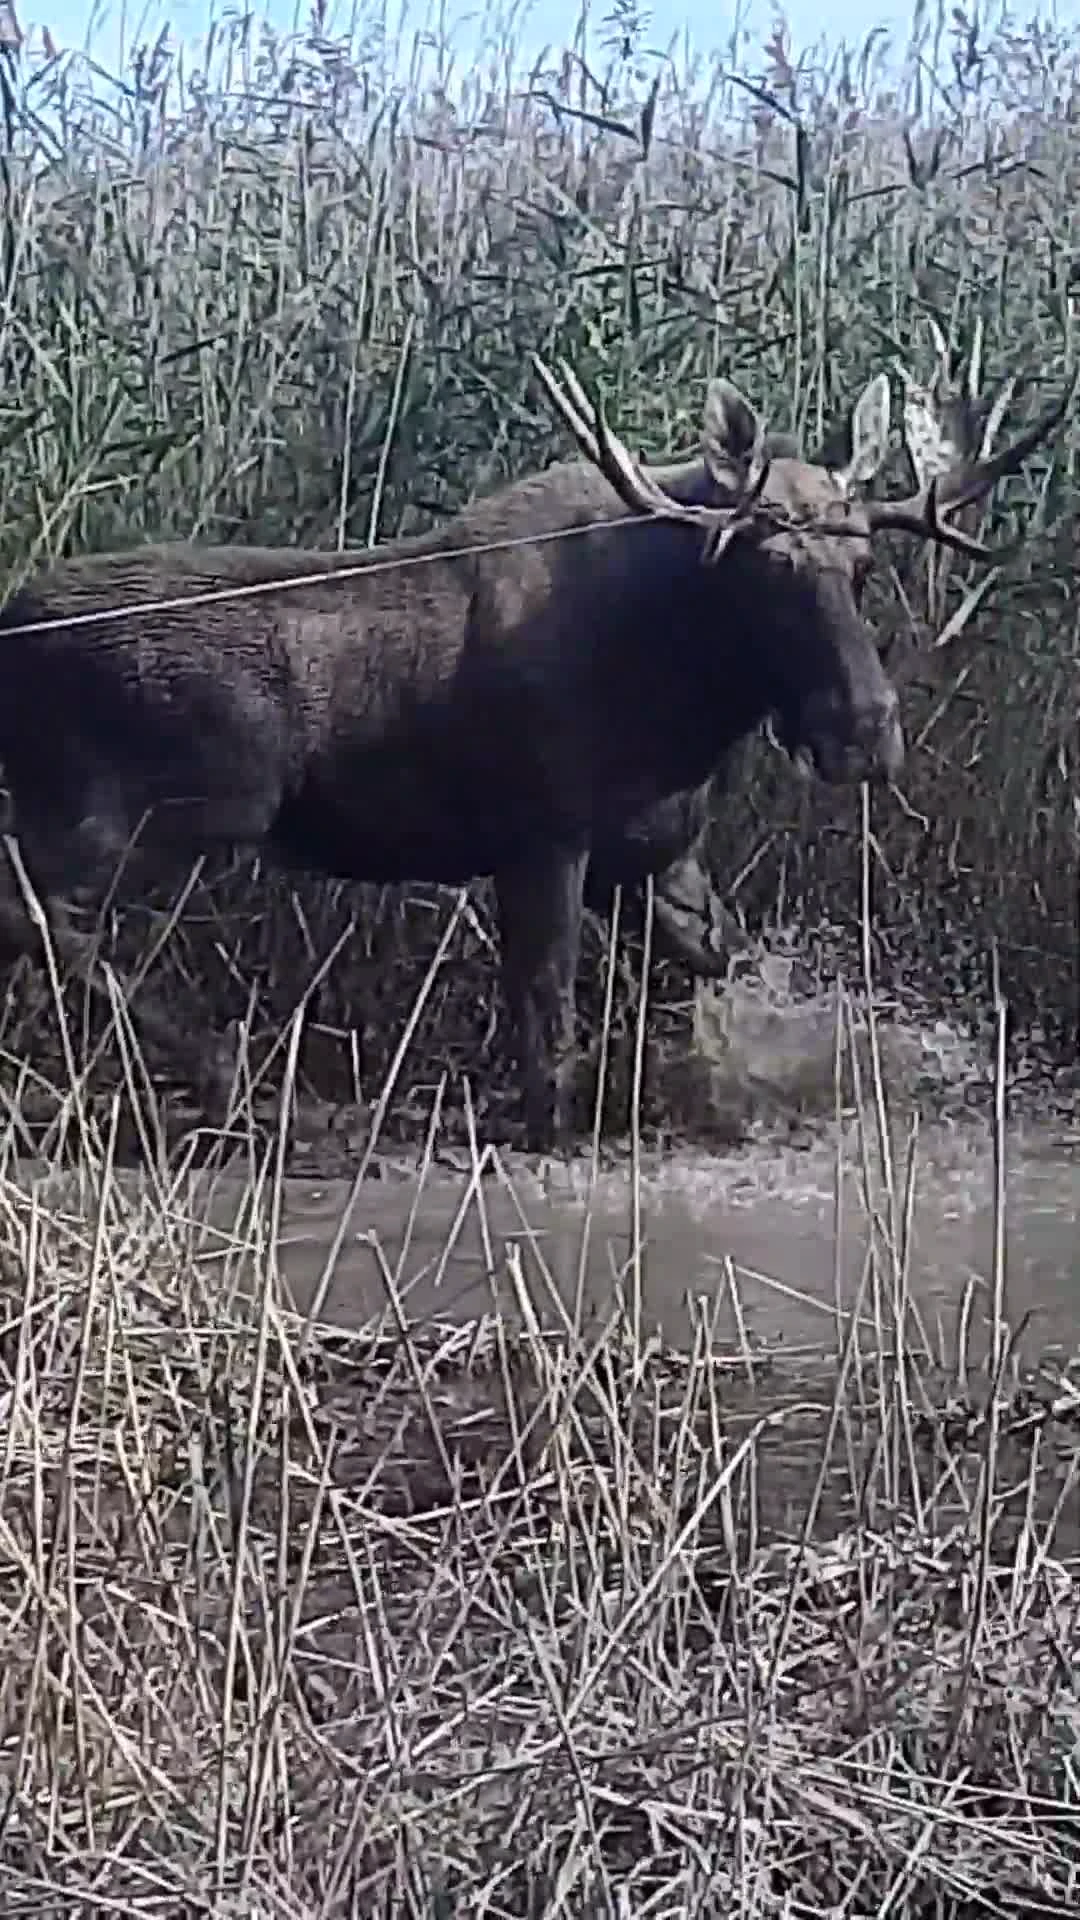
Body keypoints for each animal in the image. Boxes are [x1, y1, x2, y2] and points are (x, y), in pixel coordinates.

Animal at [0, 353, 1060, 1144]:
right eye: (763, 570)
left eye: (866, 563)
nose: (864, 732)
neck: (682, 691)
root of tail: (12, 624)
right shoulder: (542, 840)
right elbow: (544, 1019)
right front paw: (556, 1122)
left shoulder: (654, 852)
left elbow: (718, 967)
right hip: (152, 815)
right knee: (41, 914)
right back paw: (230, 1075)